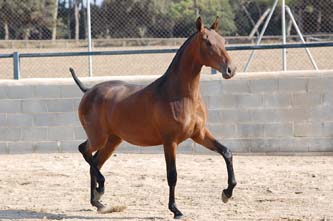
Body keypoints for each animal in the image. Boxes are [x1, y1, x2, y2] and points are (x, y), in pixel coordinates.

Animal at [69, 16, 236, 218]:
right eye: (208, 42)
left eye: (224, 41)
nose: (230, 69)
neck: (180, 94)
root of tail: (88, 90)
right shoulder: (170, 141)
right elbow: (172, 175)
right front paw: (175, 210)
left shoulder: (199, 134)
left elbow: (226, 152)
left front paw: (227, 193)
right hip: (98, 137)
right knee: (85, 151)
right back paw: (100, 190)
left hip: (112, 140)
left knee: (95, 162)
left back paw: (98, 202)